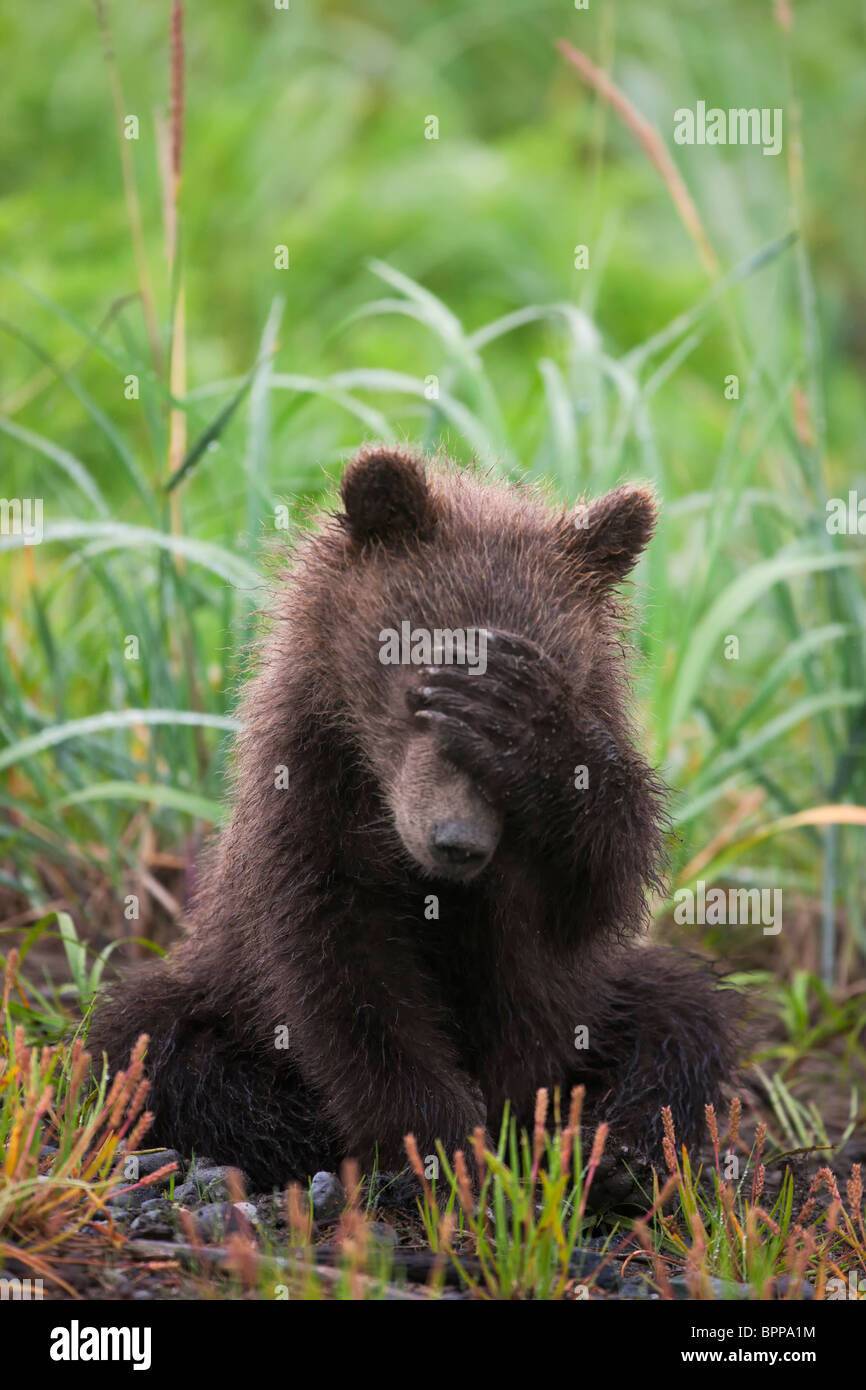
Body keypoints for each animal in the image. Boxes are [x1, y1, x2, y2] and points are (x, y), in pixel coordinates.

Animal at [88, 446, 737, 1190]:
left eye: (550, 675)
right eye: (415, 690)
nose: (456, 841)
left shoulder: (538, 876)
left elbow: (584, 901)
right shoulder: (309, 798)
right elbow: (344, 976)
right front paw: (433, 1142)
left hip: (610, 996)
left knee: (681, 1014)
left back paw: (615, 1152)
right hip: (218, 988)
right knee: (151, 1047)